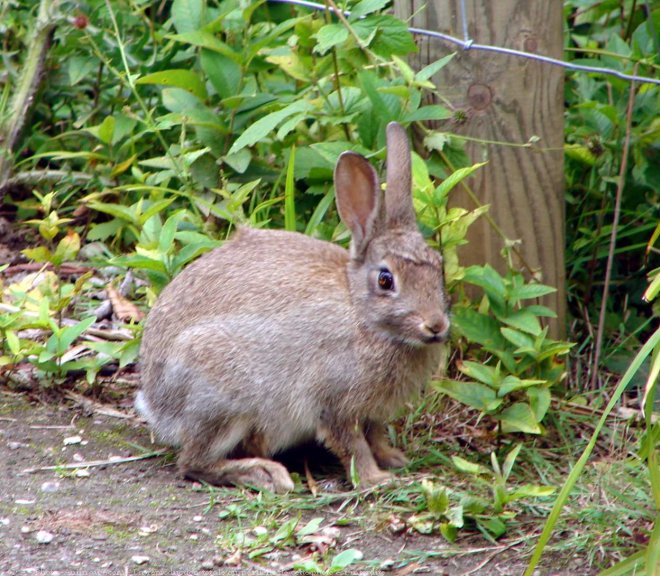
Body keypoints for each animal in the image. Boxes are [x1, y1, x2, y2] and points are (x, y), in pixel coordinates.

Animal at [137, 121, 452, 490]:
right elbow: (353, 445)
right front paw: (376, 479)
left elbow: (374, 436)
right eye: (386, 280)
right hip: (221, 396)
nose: (435, 325)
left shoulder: (371, 412)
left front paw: (394, 460)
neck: (363, 317)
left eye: (440, 266)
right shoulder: (332, 401)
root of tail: (156, 403)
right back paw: (263, 473)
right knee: (192, 462)